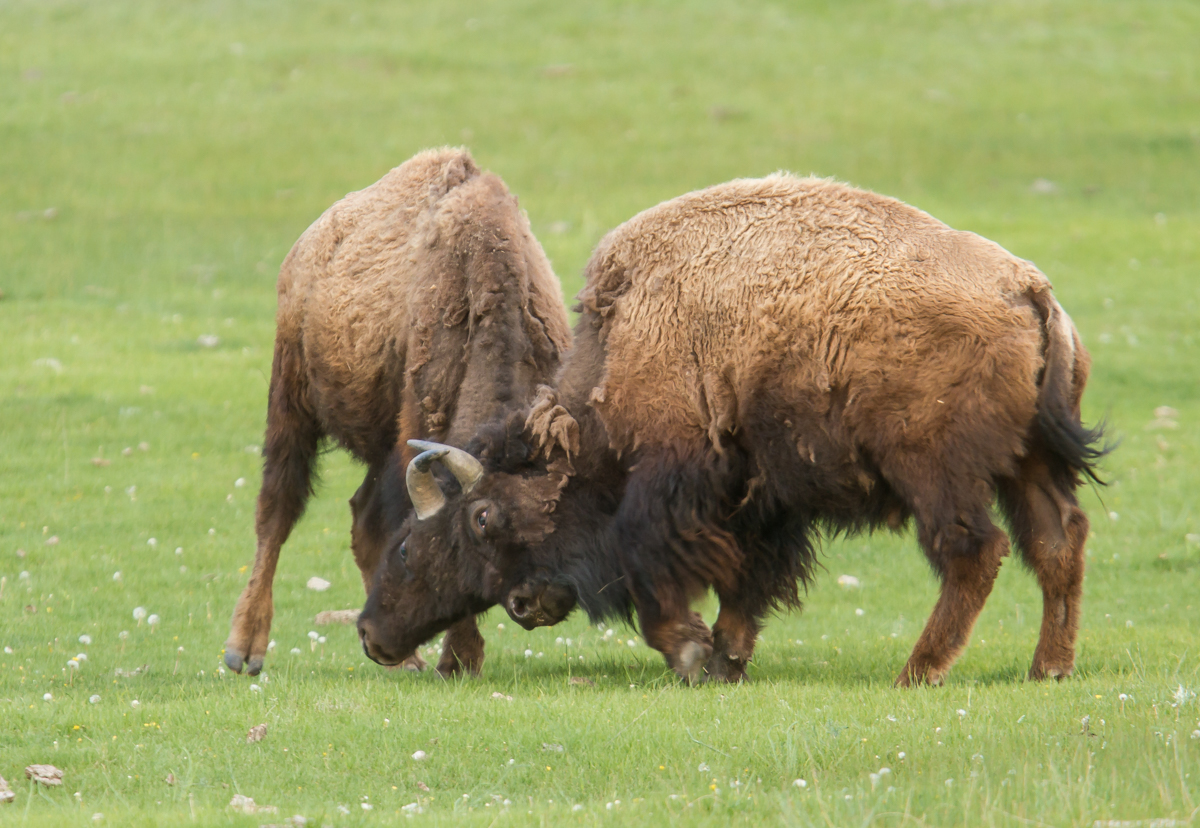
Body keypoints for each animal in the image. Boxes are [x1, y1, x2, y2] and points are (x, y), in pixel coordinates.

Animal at [224, 148, 572, 677]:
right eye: (482, 521)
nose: (543, 601)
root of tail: (310, 241)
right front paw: (460, 659)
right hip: (290, 397)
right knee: (277, 511)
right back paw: (245, 649)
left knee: (361, 515)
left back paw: (405, 659)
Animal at [358, 174, 1106, 686]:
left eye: (475, 520)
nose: (371, 633)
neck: (626, 342)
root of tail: (1027, 289)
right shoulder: (760, 498)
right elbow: (747, 582)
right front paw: (728, 656)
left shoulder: (672, 486)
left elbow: (663, 582)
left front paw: (694, 653)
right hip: (1028, 464)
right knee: (1057, 541)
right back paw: (1049, 667)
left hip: (937, 471)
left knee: (975, 552)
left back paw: (917, 671)